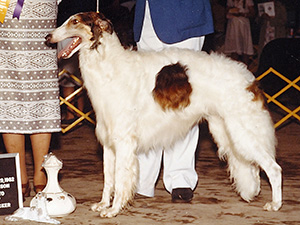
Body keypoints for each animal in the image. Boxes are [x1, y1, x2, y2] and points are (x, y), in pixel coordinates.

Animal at [47, 11, 282, 216]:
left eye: (75, 21)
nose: (48, 37)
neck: (109, 66)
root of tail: (250, 79)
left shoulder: (124, 141)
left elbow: (121, 178)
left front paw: (113, 210)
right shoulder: (108, 141)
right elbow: (108, 178)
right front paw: (103, 204)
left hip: (242, 131)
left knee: (274, 168)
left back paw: (275, 204)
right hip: (226, 129)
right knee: (254, 167)